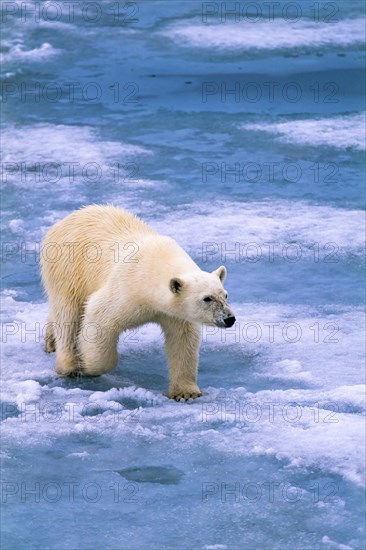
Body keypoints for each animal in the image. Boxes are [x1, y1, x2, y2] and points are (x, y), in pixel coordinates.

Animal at [40, 207, 234, 402]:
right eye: (207, 298)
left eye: (225, 295)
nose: (229, 318)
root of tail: (62, 222)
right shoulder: (126, 287)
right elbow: (99, 316)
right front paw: (87, 367)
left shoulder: (174, 312)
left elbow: (183, 340)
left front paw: (186, 392)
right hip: (68, 268)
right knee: (68, 312)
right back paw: (69, 366)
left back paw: (51, 341)